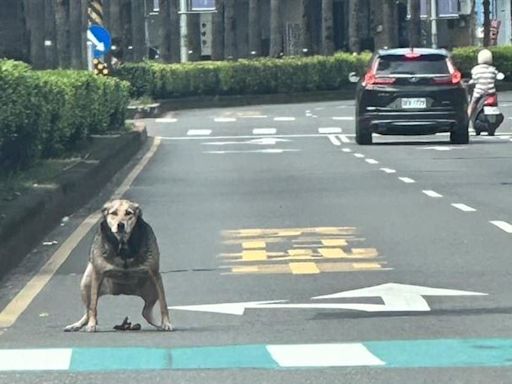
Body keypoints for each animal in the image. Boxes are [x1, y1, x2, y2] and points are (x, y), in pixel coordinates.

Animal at [63, 200, 172, 332]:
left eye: (129, 213)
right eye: (113, 213)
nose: (121, 225)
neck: (123, 245)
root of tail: (121, 291)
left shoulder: (155, 273)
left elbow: (163, 303)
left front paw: (166, 322)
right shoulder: (97, 275)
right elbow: (93, 306)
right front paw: (91, 324)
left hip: (152, 289)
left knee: (146, 311)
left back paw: (157, 324)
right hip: (86, 283)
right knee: (88, 310)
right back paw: (79, 324)